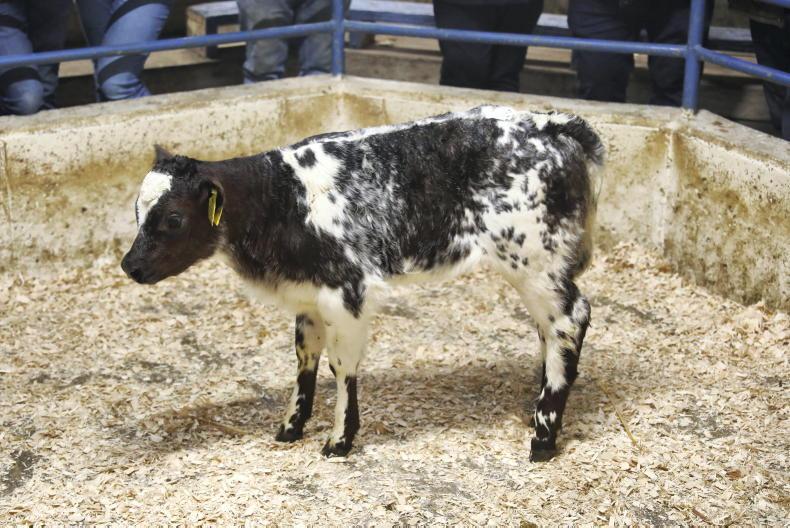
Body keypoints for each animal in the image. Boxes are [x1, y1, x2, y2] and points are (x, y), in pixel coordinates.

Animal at [121, 105, 604, 461]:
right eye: (136, 211)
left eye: (174, 218)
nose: (130, 266)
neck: (283, 199)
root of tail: (552, 123)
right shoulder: (309, 297)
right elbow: (305, 359)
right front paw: (291, 426)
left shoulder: (346, 291)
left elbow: (342, 366)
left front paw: (340, 439)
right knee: (550, 331)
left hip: (534, 261)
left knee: (570, 320)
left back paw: (544, 435)